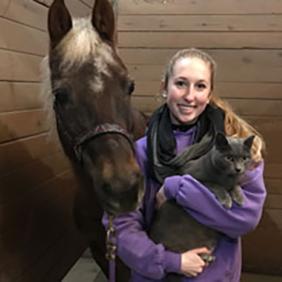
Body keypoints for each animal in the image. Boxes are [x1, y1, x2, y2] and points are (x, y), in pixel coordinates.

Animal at [149, 132, 254, 280]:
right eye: (229, 158)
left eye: (245, 158)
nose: (238, 169)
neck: (226, 177)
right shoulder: (194, 177)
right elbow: (214, 184)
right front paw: (226, 200)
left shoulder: (234, 181)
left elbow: (236, 185)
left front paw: (239, 197)